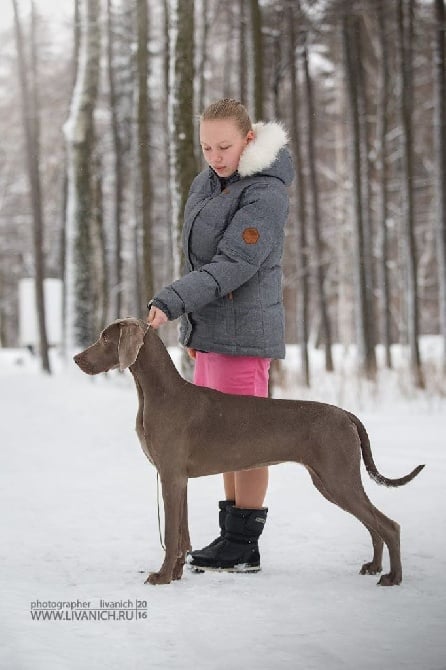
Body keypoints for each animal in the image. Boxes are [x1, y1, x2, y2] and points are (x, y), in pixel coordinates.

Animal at [74, 320, 426, 588]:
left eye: (104, 338)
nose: (77, 358)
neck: (158, 393)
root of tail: (347, 415)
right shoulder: (179, 479)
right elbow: (183, 534)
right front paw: (175, 574)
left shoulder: (171, 477)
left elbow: (172, 535)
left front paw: (161, 577)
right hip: (329, 481)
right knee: (373, 524)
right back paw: (374, 566)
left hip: (338, 477)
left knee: (388, 525)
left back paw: (392, 577)